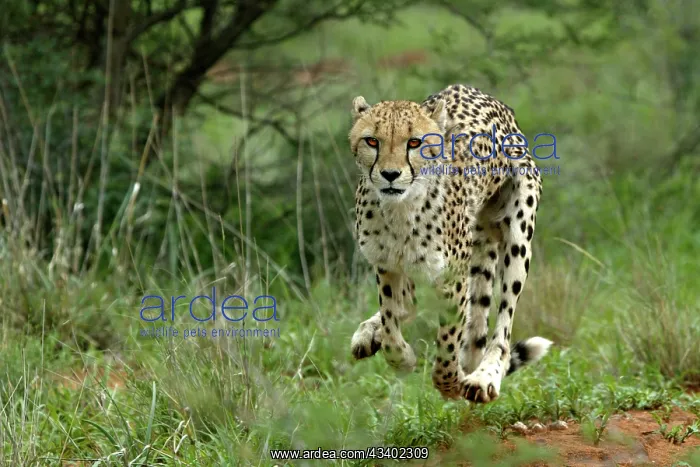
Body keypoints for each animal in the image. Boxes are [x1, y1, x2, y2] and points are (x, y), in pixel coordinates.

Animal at [348, 84, 553, 403]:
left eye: (414, 143)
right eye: (372, 141)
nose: (390, 175)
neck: (400, 211)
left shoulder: (452, 278)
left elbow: (448, 340)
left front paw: (451, 383)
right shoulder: (386, 265)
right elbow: (392, 317)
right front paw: (402, 357)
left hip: (518, 233)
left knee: (503, 327)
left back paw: (484, 376)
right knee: (410, 303)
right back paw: (369, 332)